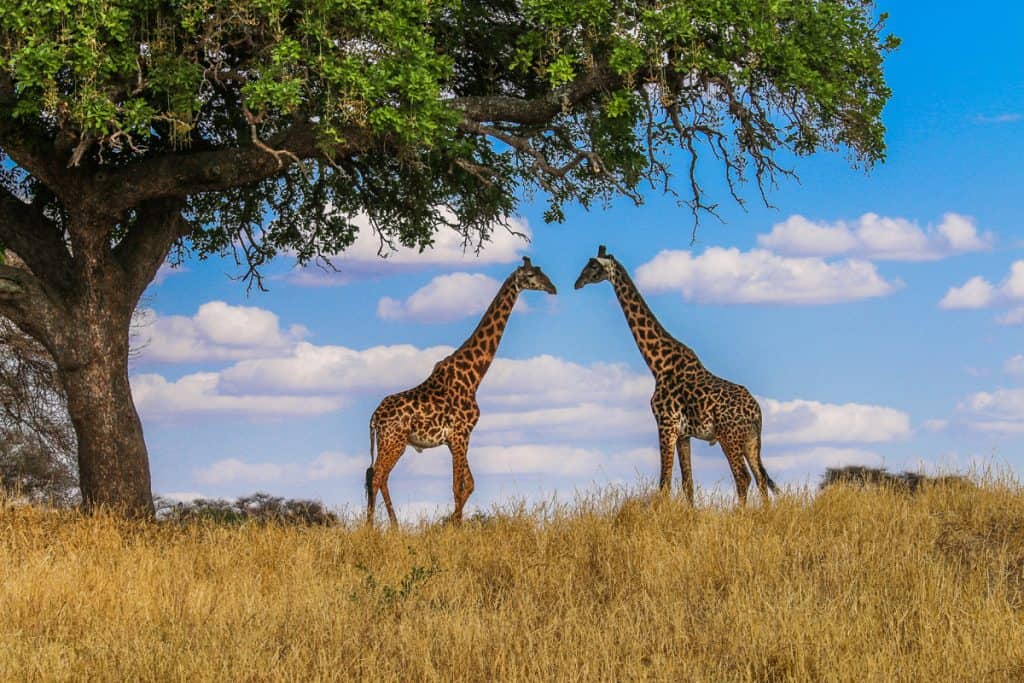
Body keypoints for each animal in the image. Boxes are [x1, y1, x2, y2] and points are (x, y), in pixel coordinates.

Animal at [366, 254, 561, 524]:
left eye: (542, 272)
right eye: (531, 275)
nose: (552, 288)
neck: (474, 376)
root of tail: (374, 417)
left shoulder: (457, 438)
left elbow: (468, 484)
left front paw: (450, 522)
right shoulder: (460, 434)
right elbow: (458, 486)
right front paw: (454, 527)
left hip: (393, 442)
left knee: (376, 476)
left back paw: (389, 526)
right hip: (393, 441)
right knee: (377, 476)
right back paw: (375, 527)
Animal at [577, 242, 774, 505]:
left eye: (593, 267)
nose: (577, 283)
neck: (657, 365)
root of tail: (757, 412)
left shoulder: (665, 424)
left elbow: (664, 483)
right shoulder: (683, 434)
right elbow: (687, 484)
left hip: (729, 436)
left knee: (743, 477)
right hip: (751, 441)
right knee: (761, 478)